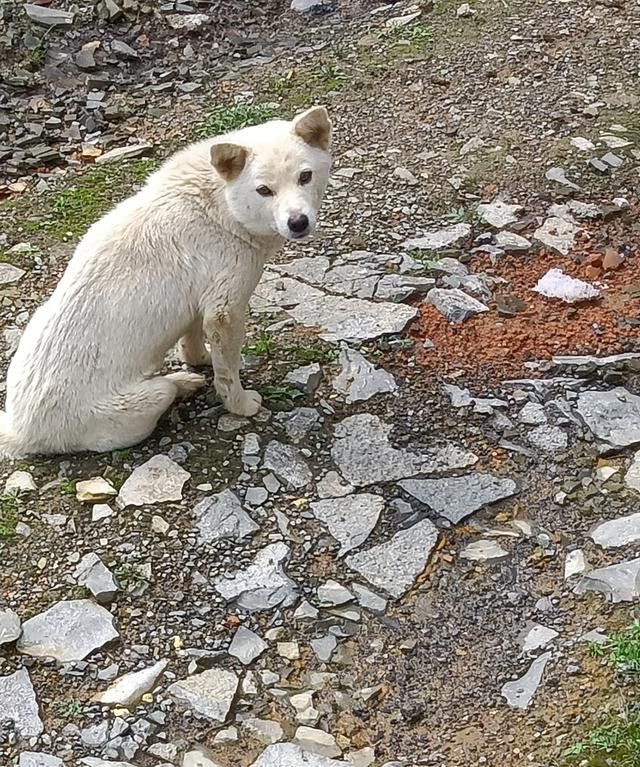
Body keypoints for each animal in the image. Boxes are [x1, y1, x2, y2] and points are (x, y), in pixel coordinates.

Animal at [0, 105, 330, 460]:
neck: (220, 207)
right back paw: (182, 384)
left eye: (305, 176)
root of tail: (22, 433)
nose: (298, 222)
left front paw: (201, 360)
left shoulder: (198, 304)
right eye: (264, 190)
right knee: (165, 389)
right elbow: (227, 375)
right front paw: (240, 405)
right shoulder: (225, 312)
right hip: (150, 396)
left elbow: (193, 342)